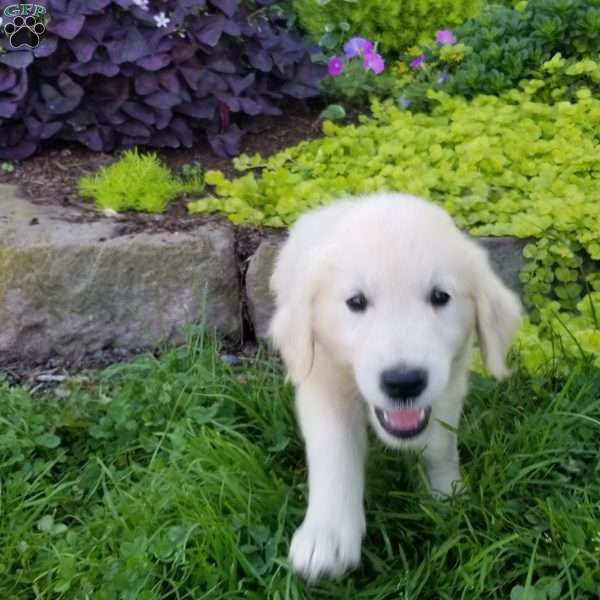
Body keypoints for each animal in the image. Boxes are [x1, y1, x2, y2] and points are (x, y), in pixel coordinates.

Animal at [270, 192, 524, 580]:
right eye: (356, 301)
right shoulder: (321, 379)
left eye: (440, 297)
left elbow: (439, 445)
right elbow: (335, 453)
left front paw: (446, 495)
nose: (403, 382)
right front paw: (326, 536)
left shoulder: (450, 381)